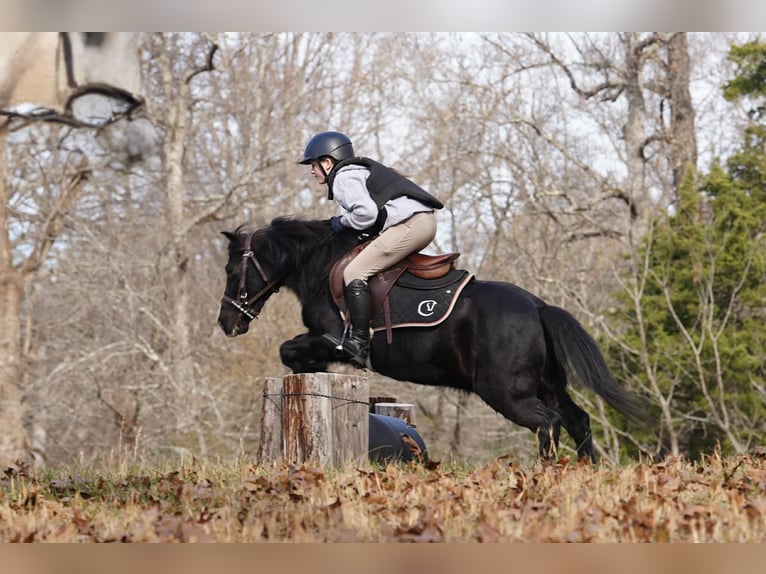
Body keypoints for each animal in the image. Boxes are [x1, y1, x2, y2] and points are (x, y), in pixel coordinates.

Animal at [217, 216, 643, 462]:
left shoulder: (329, 337)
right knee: (576, 419)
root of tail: (538, 307)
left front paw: (311, 368)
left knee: (548, 423)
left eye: (231, 269)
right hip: (546, 385)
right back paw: (585, 474)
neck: (321, 267)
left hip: (506, 391)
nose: (227, 323)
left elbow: (289, 348)